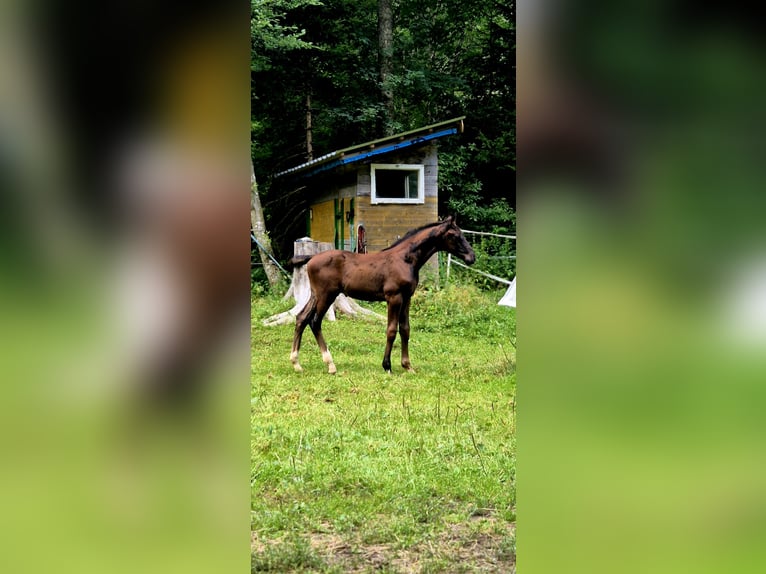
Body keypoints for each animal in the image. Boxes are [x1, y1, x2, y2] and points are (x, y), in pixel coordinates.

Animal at [289, 215, 476, 374]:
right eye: (454, 235)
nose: (471, 257)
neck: (405, 259)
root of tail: (311, 258)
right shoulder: (394, 297)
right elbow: (391, 330)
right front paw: (387, 366)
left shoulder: (407, 298)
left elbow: (405, 329)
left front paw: (408, 366)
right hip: (326, 295)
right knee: (315, 321)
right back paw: (330, 365)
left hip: (316, 295)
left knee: (301, 318)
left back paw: (297, 364)